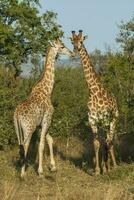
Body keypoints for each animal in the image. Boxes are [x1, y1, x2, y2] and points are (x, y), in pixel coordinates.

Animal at [13, 38, 74, 177]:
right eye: (62, 47)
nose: (72, 53)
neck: (47, 90)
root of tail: (17, 114)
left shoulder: (41, 123)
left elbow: (49, 139)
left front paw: (53, 166)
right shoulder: (47, 119)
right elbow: (41, 144)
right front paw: (40, 171)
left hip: (18, 128)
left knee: (20, 145)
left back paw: (22, 168)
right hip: (28, 128)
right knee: (25, 144)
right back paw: (23, 173)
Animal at [69, 30, 119, 175]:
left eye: (81, 41)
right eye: (72, 41)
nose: (76, 49)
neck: (94, 92)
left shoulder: (105, 120)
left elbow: (107, 143)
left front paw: (107, 168)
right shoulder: (93, 121)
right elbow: (96, 144)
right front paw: (98, 170)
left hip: (113, 121)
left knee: (110, 141)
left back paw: (113, 166)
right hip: (104, 124)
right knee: (105, 142)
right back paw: (105, 166)